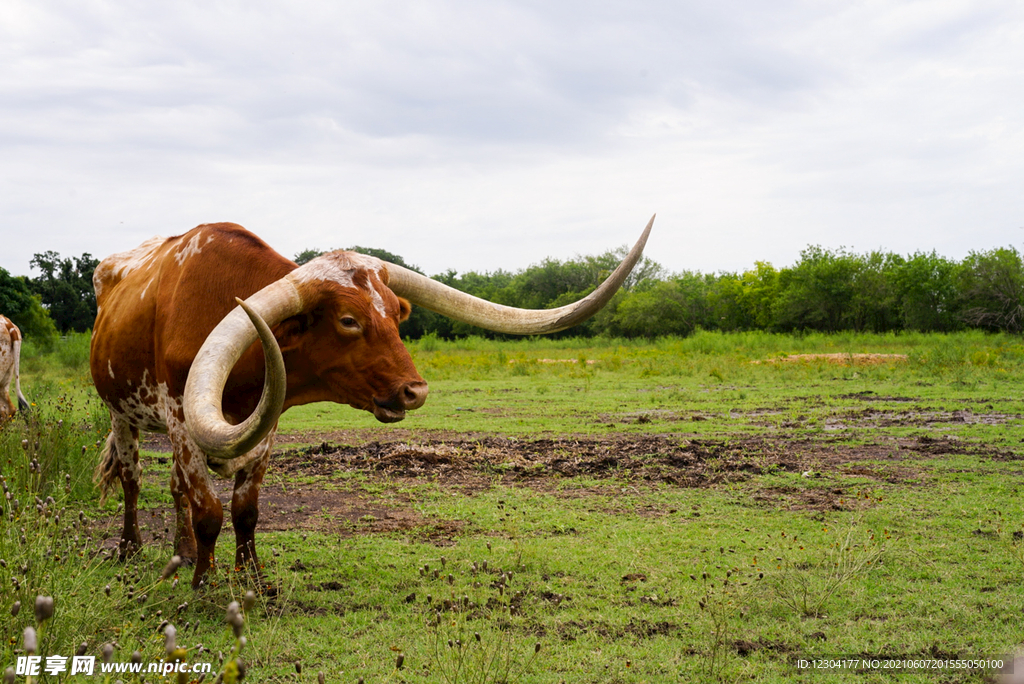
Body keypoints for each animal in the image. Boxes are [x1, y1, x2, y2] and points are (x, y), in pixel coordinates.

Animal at [90, 216, 655, 585]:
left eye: (396, 313)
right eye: (348, 321)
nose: (415, 390)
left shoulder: (264, 430)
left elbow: (245, 510)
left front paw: (252, 579)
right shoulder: (180, 418)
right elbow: (209, 508)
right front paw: (206, 586)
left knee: (173, 488)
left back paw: (181, 553)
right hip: (121, 415)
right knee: (134, 479)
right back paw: (131, 549)